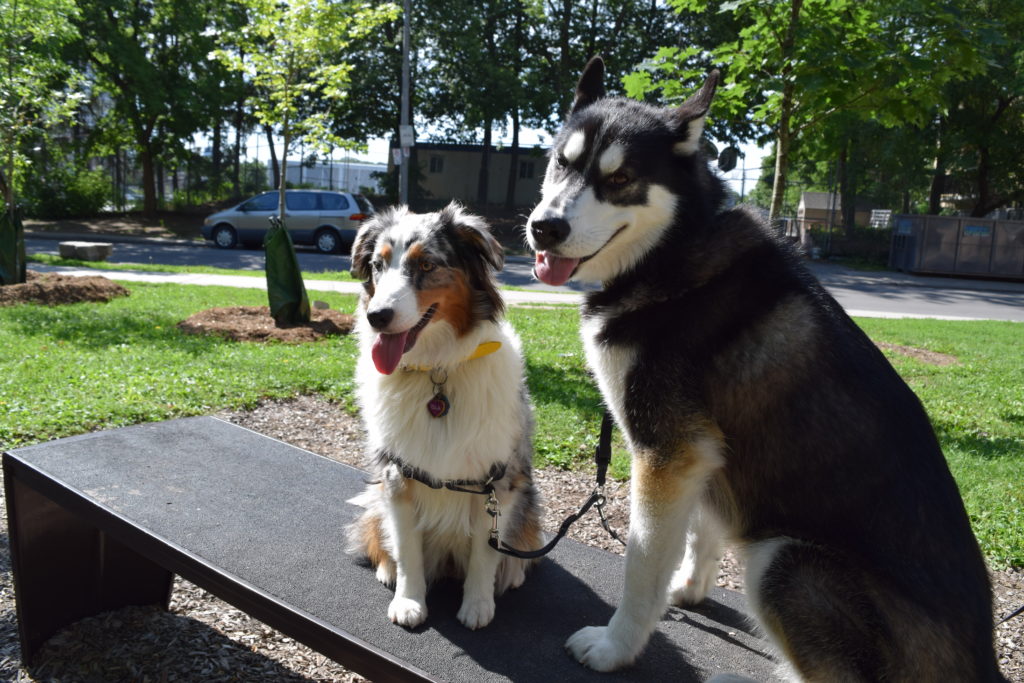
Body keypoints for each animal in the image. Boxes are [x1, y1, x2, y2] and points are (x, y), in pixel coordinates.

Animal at [346, 201, 544, 630]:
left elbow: (486, 554)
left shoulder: (497, 481)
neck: (437, 368)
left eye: (426, 265)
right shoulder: (397, 475)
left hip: (528, 503)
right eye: (377, 265)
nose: (377, 316)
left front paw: (477, 606)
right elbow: (407, 550)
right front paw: (409, 601)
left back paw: (513, 574)